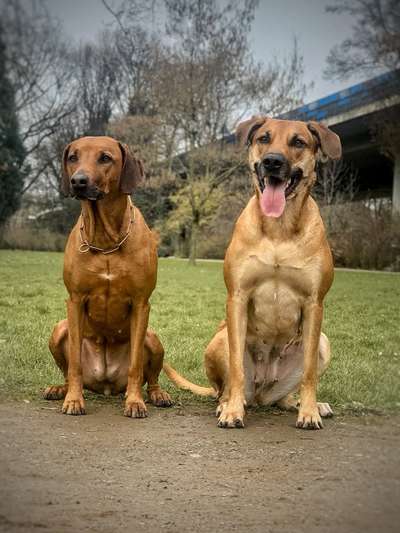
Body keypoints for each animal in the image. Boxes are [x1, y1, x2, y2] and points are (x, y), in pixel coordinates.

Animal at [44, 136, 172, 416]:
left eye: (105, 158)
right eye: (73, 157)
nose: (78, 181)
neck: (105, 242)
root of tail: (105, 384)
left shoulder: (141, 303)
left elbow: (136, 365)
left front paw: (134, 401)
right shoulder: (75, 300)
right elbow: (75, 364)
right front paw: (73, 400)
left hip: (153, 338)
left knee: (152, 377)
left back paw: (157, 394)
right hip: (59, 329)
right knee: (68, 371)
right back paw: (60, 389)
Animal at [164, 116, 342, 428]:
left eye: (298, 142)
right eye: (264, 138)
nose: (272, 161)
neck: (279, 228)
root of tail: (261, 393)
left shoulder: (314, 303)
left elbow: (308, 371)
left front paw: (309, 411)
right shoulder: (237, 296)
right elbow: (237, 367)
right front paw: (233, 411)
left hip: (322, 342)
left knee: (285, 397)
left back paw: (306, 404)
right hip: (220, 338)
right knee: (225, 387)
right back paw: (228, 403)